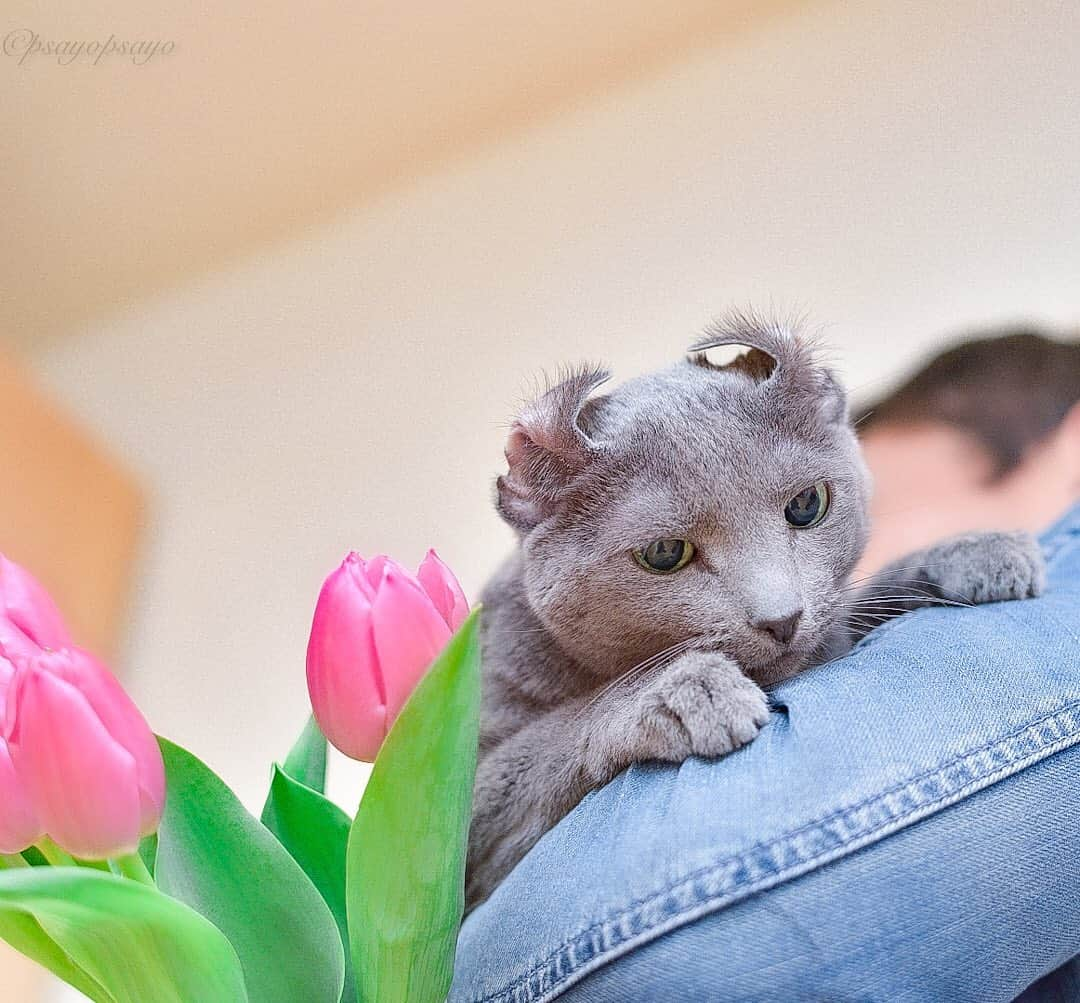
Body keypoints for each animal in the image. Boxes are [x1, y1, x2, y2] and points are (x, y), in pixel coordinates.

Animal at [464, 317, 1045, 911]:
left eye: (808, 505)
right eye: (665, 554)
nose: (782, 618)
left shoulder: (835, 619)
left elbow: (867, 597)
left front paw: (974, 553)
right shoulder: (468, 818)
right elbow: (558, 731)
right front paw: (688, 692)